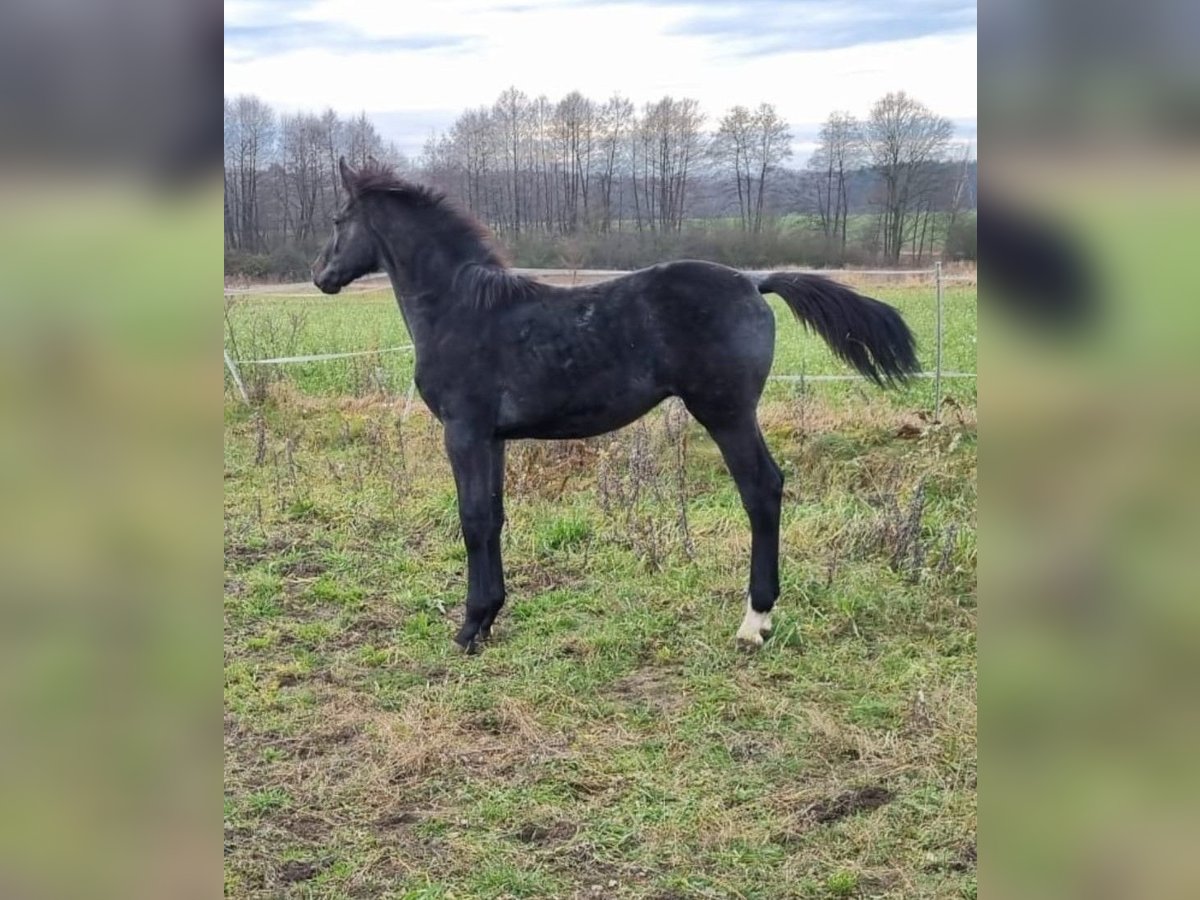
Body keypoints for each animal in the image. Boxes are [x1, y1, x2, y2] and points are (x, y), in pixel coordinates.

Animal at [312, 158, 916, 657]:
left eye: (339, 219)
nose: (321, 276)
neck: (462, 308)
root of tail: (754, 280)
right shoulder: (493, 437)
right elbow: (496, 516)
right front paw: (490, 618)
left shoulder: (463, 431)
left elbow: (473, 518)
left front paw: (469, 628)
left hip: (726, 412)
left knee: (762, 489)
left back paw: (754, 622)